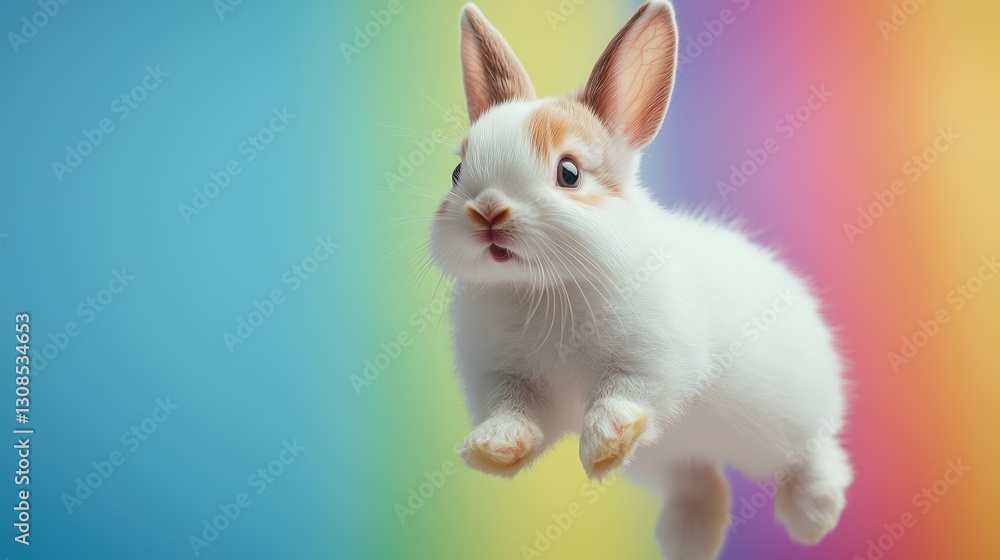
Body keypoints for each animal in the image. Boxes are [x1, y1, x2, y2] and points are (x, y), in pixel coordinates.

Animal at [428, 2, 852, 558]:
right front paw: (494, 449)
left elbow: (623, 392)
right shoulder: (504, 378)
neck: (546, 286)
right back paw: (687, 538)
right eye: (458, 173)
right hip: (672, 459)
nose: (487, 211)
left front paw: (605, 445)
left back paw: (814, 515)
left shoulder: (652, 359)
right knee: (700, 480)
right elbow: (514, 413)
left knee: (814, 453)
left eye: (569, 173)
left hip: (792, 416)